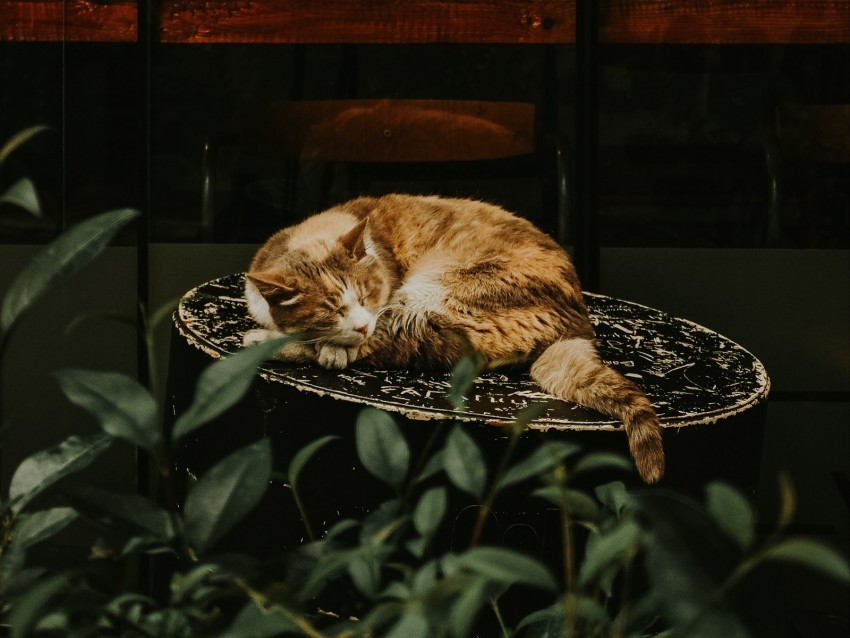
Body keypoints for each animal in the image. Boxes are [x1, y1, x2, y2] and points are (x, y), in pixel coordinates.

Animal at [240, 195, 664, 484]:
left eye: (365, 295)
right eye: (332, 310)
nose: (359, 326)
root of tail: (578, 323)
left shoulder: (384, 307)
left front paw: (318, 345)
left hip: (434, 292)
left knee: (392, 346)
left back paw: (265, 341)